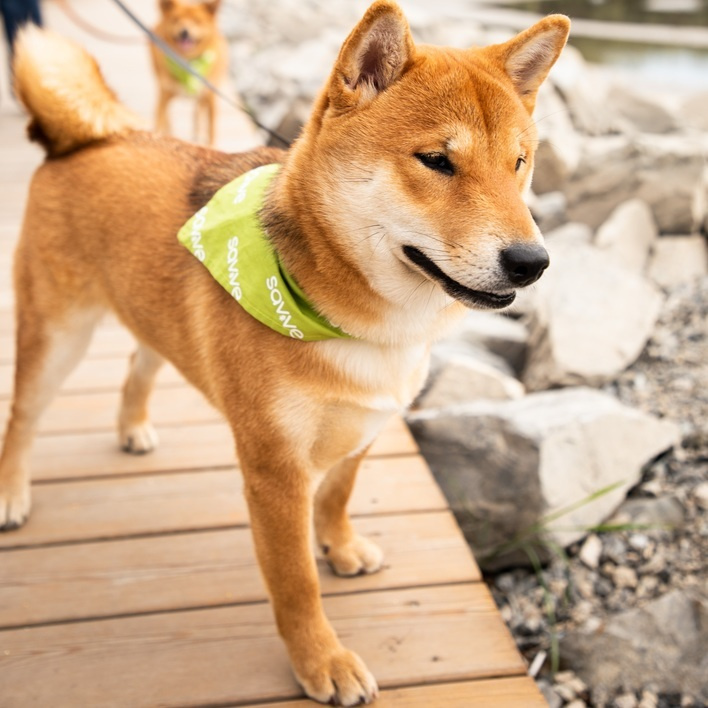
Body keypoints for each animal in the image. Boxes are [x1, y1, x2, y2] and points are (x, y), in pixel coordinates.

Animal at [149, 0, 227, 145]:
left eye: (197, 21)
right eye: (176, 20)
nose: (184, 32)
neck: (187, 64)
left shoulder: (210, 98)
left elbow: (211, 130)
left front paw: (210, 146)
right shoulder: (165, 94)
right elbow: (160, 118)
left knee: (198, 112)